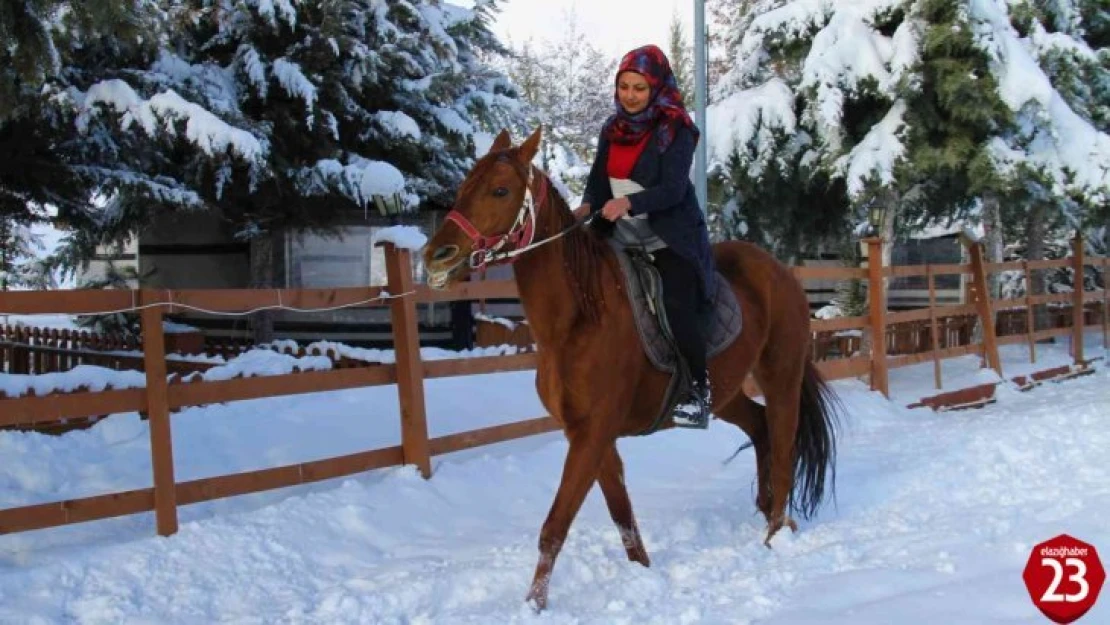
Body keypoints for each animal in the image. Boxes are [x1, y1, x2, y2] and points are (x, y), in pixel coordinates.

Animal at [419, 127, 834, 612]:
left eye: (500, 190)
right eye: (465, 185)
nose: (437, 256)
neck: (578, 318)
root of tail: (780, 271)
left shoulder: (594, 432)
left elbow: (554, 527)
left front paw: (534, 605)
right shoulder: (588, 434)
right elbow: (621, 515)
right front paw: (643, 574)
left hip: (781, 376)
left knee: (784, 445)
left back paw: (774, 534)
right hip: (727, 393)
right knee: (761, 428)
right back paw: (769, 513)